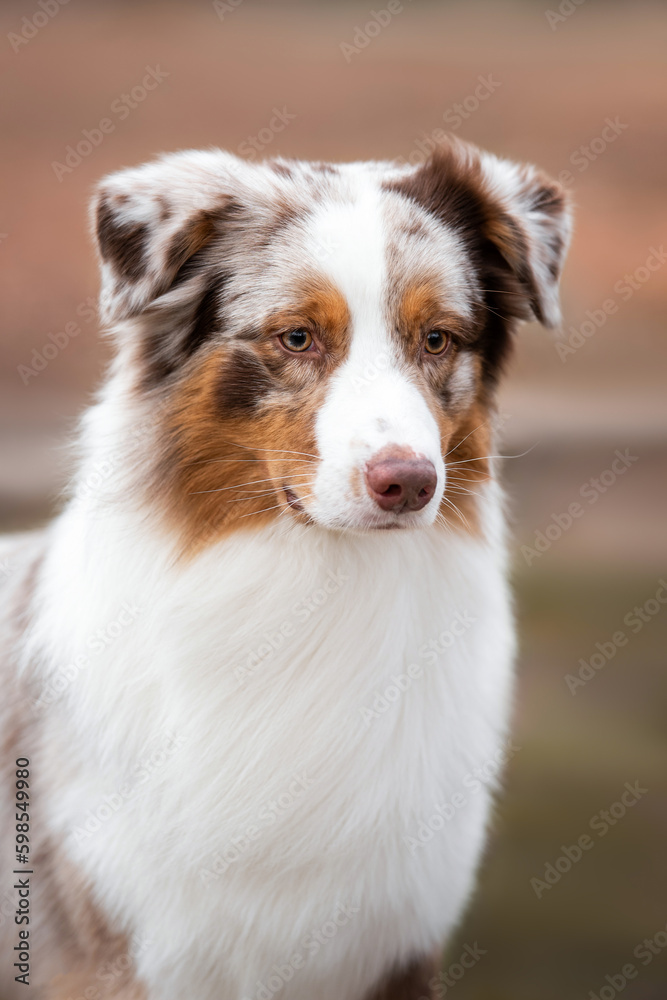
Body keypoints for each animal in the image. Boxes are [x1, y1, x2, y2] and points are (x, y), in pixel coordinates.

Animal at [1, 135, 568, 1000]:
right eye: (296, 338)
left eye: (437, 338)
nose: (408, 483)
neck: (314, 587)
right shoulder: (116, 954)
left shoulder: (393, 948)